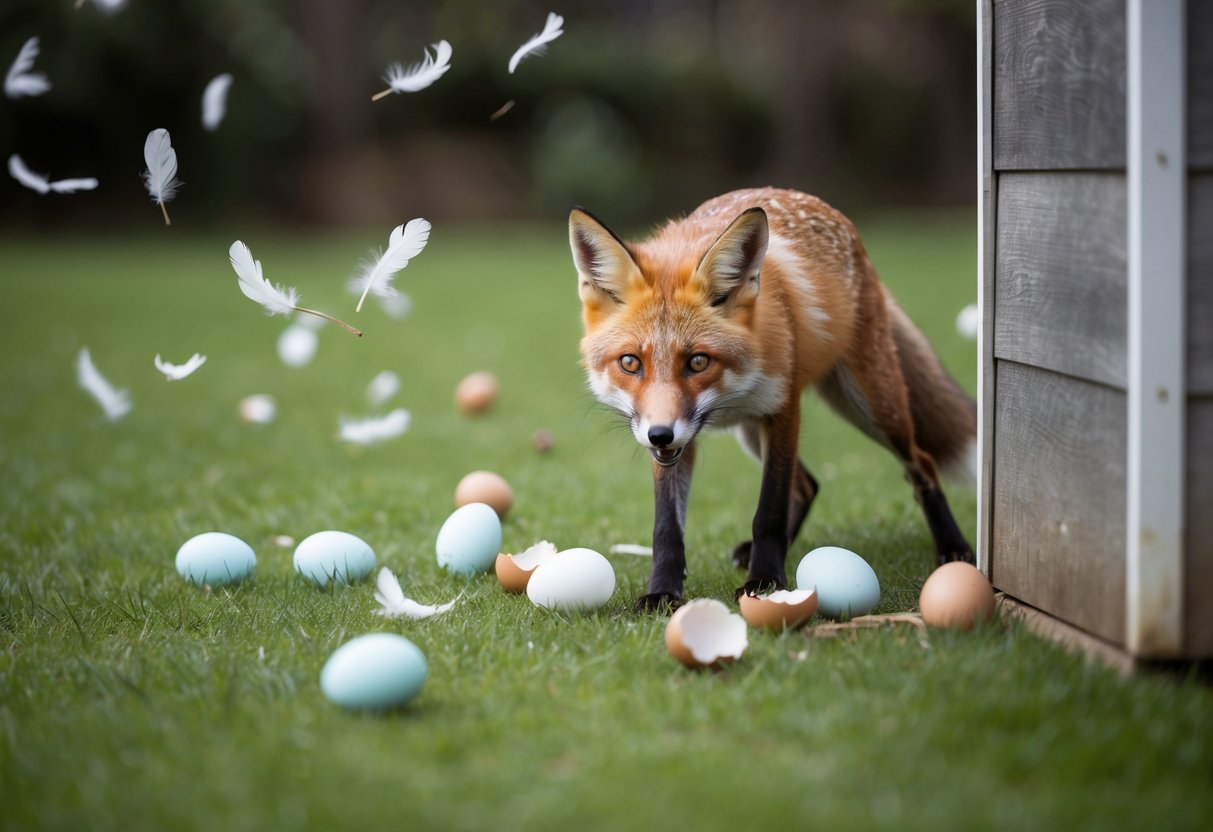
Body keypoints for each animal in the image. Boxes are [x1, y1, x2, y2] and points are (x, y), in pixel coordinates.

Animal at [569, 187, 977, 612]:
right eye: (630, 363)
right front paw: (663, 593)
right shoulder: (675, 441)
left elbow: (769, 512)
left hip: (873, 407)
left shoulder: (782, 411)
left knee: (921, 463)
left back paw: (953, 547)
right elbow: (666, 528)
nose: (660, 435)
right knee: (808, 485)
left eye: (698, 361)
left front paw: (765, 583)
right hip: (750, 433)